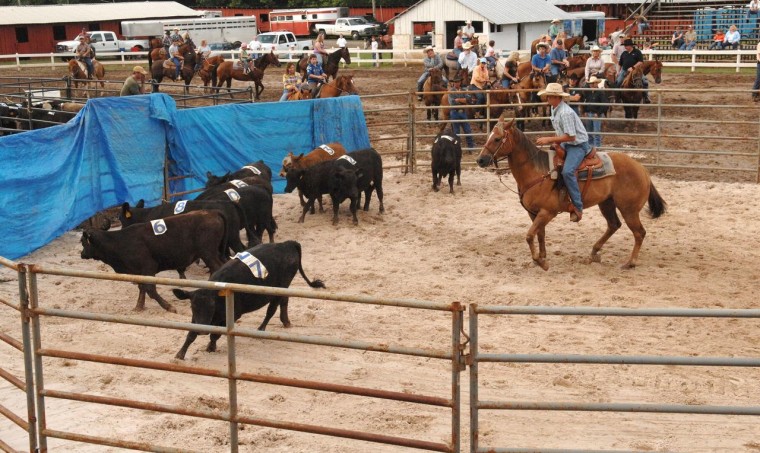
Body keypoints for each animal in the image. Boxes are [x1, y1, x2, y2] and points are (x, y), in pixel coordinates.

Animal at [81, 210, 229, 312]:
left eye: (83, 242)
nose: (82, 254)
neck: (120, 241)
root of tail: (212, 212)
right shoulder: (139, 272)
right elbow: (142, 287)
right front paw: (139, 306)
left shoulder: (148, 267)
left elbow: (150, 289)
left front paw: (169, 307)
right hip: (215, 253)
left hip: (208, 253)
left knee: (217, 268)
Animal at [171, 240, 326, 360]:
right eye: (193, 306)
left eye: (212, 306)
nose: (203, 330)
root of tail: (288, 243)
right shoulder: (197, 318)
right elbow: (191, 334)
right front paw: (180, 354)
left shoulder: (233, 315)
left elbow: (215, 334)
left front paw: (211, 346)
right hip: (283, 287)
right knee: (284, 301)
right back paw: (286, 322)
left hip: (280, 287)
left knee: (271, 309)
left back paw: (261, 329)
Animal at [476, 112, 664, 268]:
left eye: (498, 139)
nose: (480, 160)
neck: (537, 171)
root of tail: (642, 169)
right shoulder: (533, 213)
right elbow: (540, 234)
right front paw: (541, 258)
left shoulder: (547, 212)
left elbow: (529, 235)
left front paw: (540, 262)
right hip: (607, 203)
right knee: (614, 225)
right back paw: (594, 252)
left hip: (629, 209)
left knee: (639, 233)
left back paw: (630, 262)